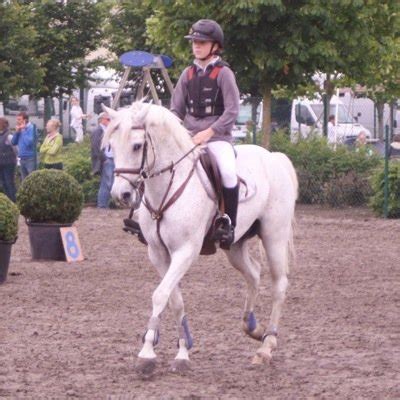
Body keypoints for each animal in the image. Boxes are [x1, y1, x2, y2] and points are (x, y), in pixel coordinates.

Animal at [102, 102, 298, 376]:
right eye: (111, 145)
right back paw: (252, 327)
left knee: (279, 285)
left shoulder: (185, 251)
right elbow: (174, 300)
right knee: (254, 274)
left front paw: (148, 353)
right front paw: (182, 350)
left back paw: (266, 347)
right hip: (234, 245)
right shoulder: (158, 254)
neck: (168, 187)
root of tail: (273, 157)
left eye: (137, 146)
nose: (122, 195)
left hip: (274, 237)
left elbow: (160, 295)